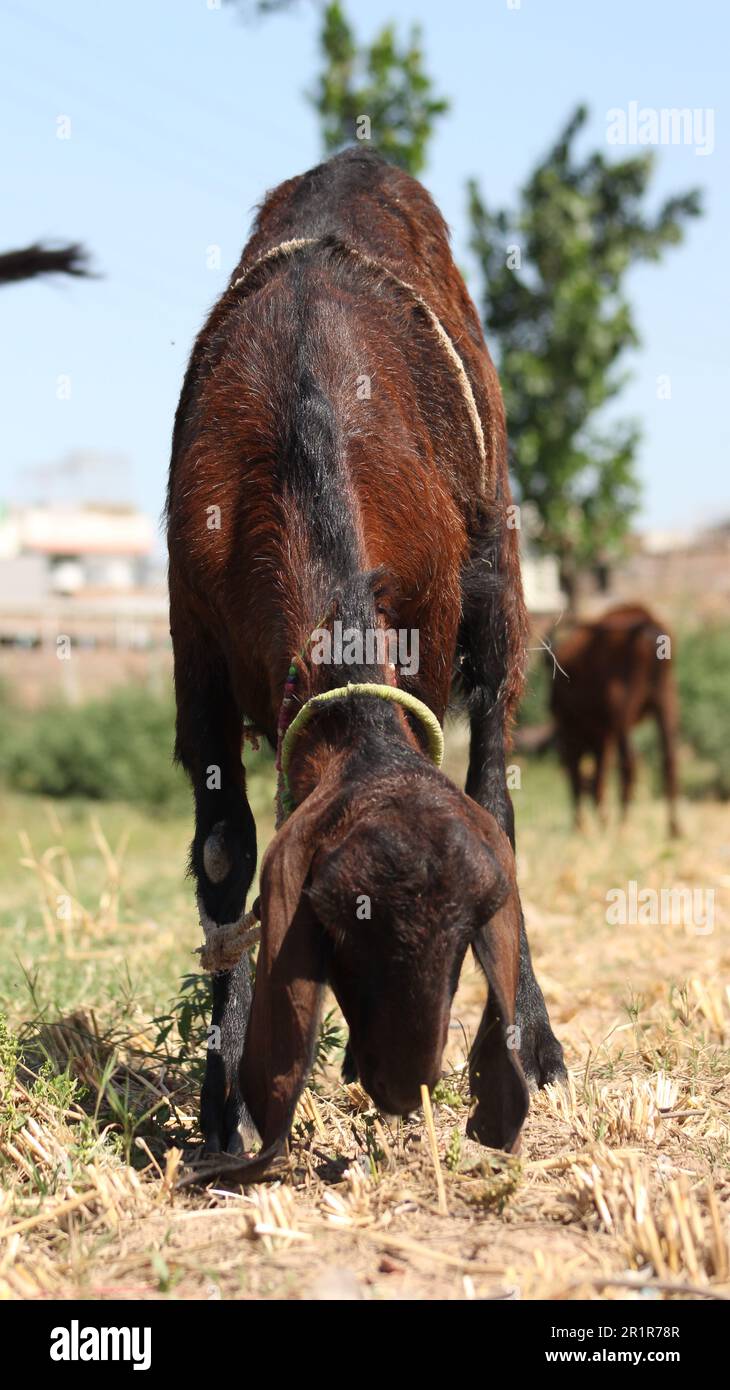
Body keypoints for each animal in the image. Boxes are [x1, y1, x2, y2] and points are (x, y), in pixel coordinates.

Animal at [167, 148, 565, 1180]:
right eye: (342, 927)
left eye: (469, 935)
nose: (400, 1086)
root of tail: (358, 156)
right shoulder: (195, 643)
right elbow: (226, 848)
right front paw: (223, 1100)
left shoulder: (427, 623)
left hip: (500, 581)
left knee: (497, 784)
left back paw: (536, 1044)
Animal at [550, 604, 680, 836]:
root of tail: (647, 624)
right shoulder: (602, 735)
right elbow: (598, 775)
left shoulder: (571, 730)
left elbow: (579, 776)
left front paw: (582, 825)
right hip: (666, 699)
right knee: (670, 758)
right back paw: (674, 828)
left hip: (623, 709)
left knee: (629, 762)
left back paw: (623, 825)